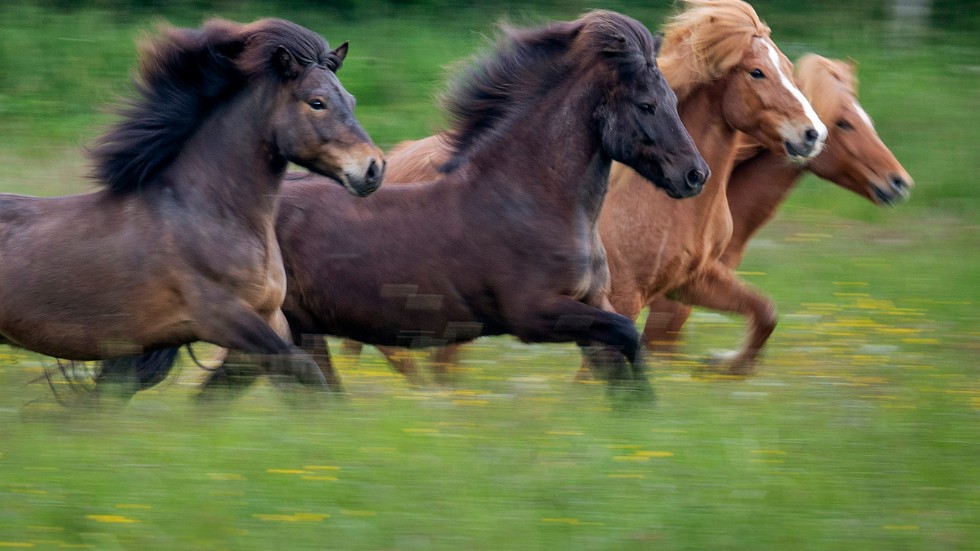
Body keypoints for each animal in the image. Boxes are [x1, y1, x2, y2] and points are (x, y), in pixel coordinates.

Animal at [0, 18, 382, 396]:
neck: (208, 214)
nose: (374, 168)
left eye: (351, 100)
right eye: (317, 102)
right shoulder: (223, 318)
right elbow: (304, 370)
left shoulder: (270, 318)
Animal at [212, 8, 704, 396]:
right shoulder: (536, 315)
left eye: (672, 98)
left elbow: (621, 363)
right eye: (646, 105)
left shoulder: (590, 304)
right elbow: (629, 337)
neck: (532, 200)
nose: (696, 174)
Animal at [336, 0, 828, 386]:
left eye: (788, 68)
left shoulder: (689, 280)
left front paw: (722, 365)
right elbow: (599, 367)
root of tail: (384, 165)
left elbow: (764, 312)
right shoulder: (621, 297)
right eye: (757, 72)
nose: (813, 134)